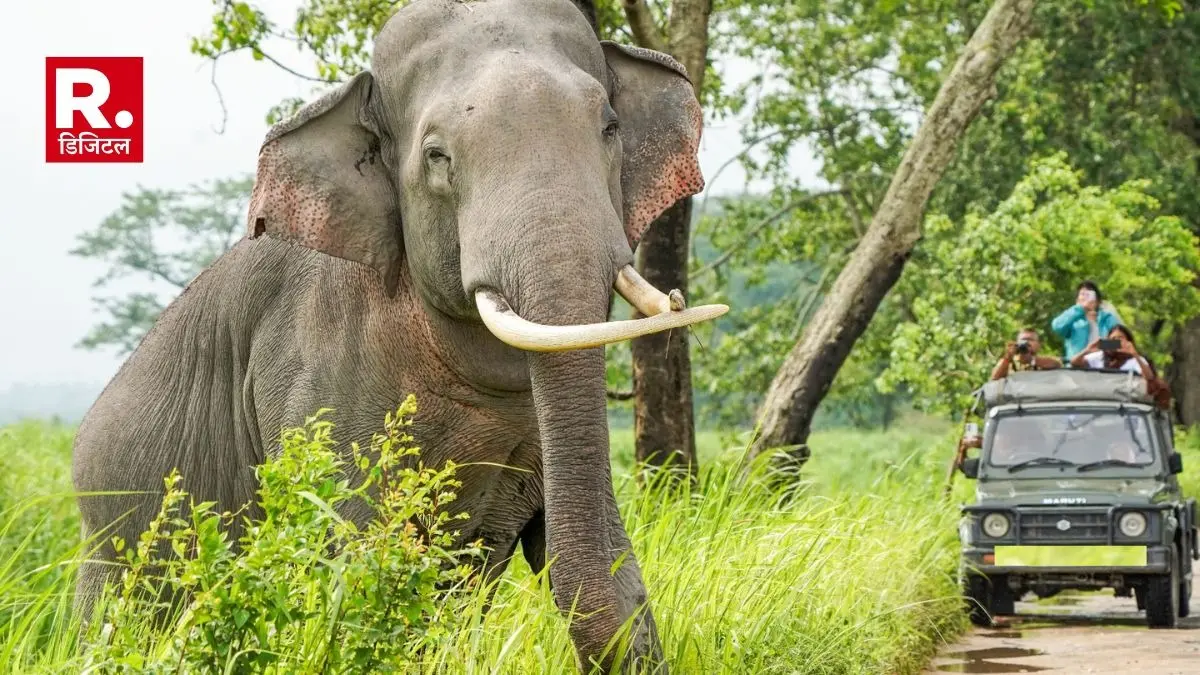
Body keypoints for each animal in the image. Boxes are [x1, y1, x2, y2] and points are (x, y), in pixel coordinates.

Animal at [69, 0, 726, 671]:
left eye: (610, 127)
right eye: (437, 157)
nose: (679, 301)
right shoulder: (314, 377)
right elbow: (357, 563)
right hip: (107, 546)